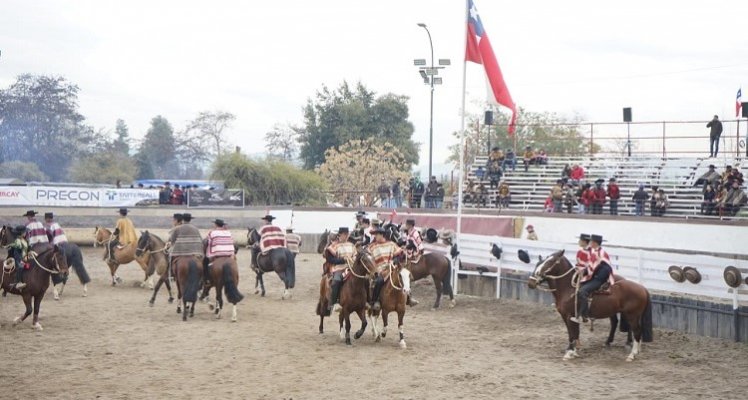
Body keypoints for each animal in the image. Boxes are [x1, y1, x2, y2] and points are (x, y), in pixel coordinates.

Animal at [524, 250, 656, 362]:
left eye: (550, 262)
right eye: (538, 263)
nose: (531, 282)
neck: (569, 288)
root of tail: (643, 288)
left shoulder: (570, 316)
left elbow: (572, 333)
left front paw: (569, 353)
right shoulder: (567, 317)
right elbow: (574, 333)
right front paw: (574, 351)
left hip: (632, 315)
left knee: (637, 331)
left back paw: (632, 355)